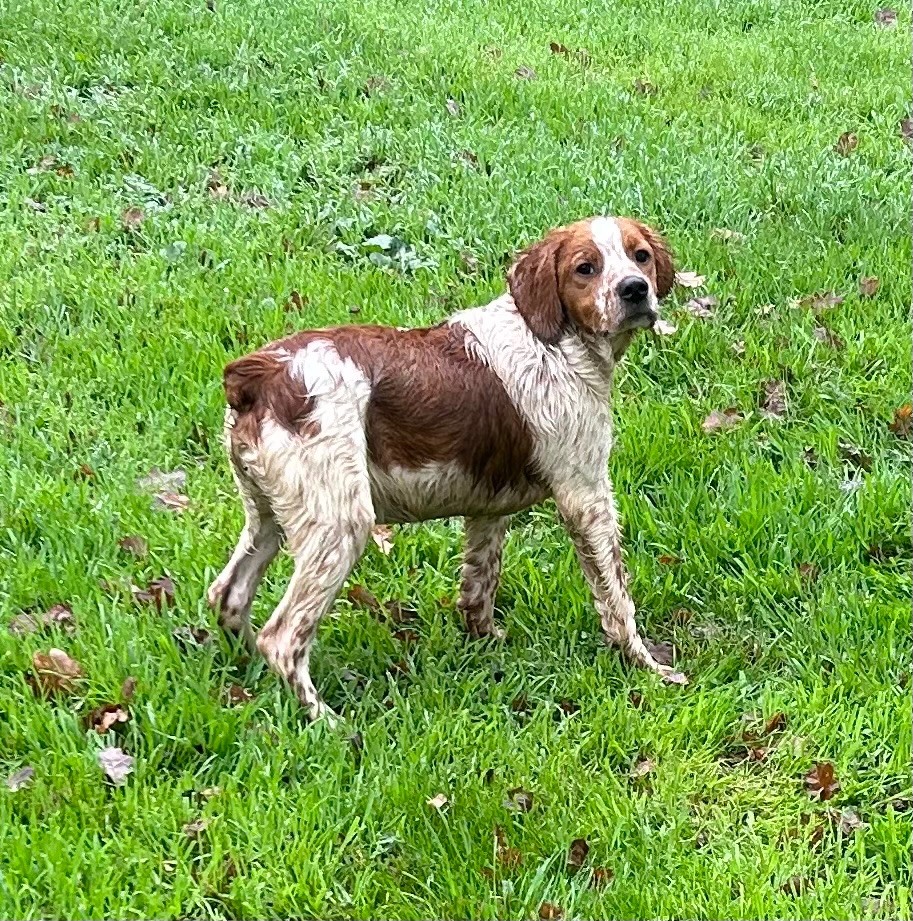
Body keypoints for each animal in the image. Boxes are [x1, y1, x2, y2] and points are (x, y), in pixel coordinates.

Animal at [207, 216, 684, 720]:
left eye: (640, 256)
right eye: (585, 268)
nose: (635, 290)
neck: (556, 341)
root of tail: (260, 374)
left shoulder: (488, 509)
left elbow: (479, 587)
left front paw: (488, 646)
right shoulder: (586, 495)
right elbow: (617, 598)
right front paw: (649, 666)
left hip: (268, 516)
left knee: (228, 595)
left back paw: (245, 685)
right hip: (340, 525)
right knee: (281, 639)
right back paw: (327, 720)